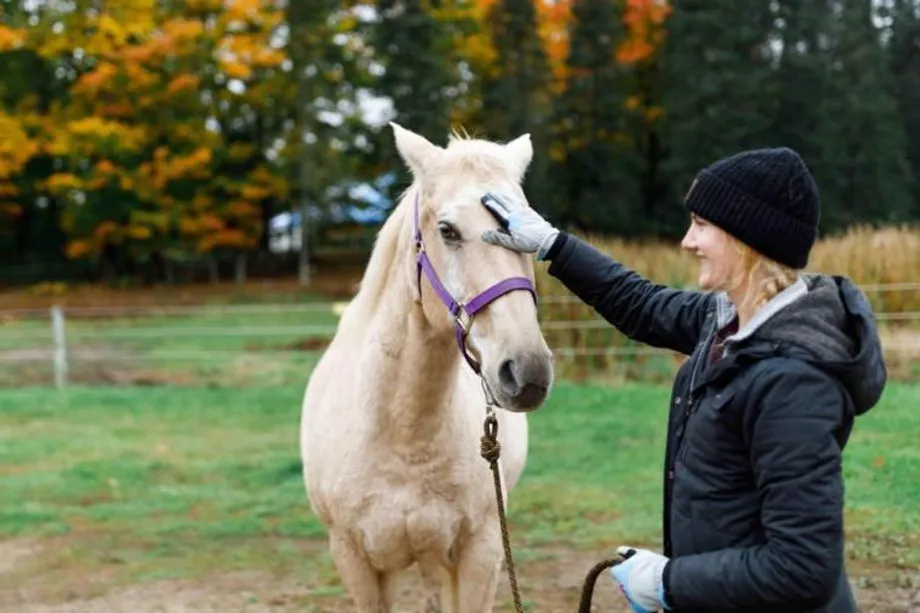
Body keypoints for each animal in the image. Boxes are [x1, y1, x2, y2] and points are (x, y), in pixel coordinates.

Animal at [302, 120, 552, 612]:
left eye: (528, 236)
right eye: (448, 230)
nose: (527, 371)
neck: (404, 437)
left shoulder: (481, 554)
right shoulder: (356, 560)